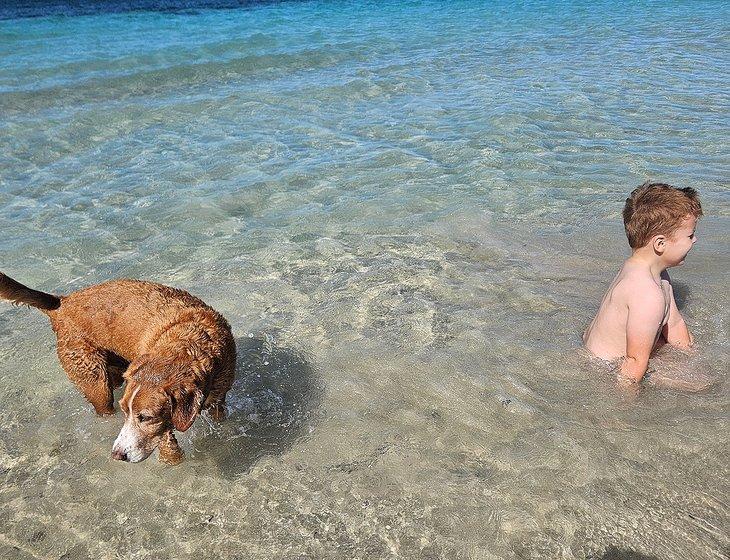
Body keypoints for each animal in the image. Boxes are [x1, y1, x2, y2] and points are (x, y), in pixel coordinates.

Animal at [0, 274, 233, 464]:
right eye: (126, 412)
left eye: (145, 417)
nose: (117, 455)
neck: (185, 339)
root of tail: (62, 303)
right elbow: (167, 440)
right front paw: (172, 459)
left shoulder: (219, 397)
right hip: (95, 381)